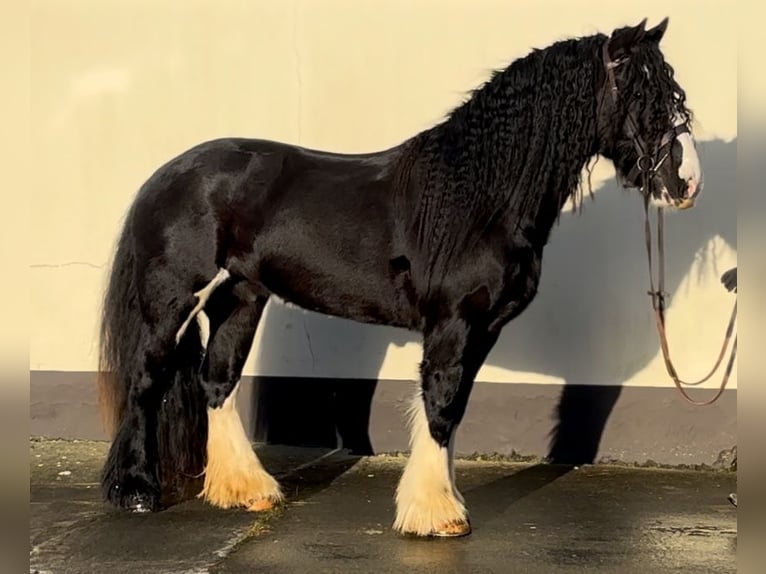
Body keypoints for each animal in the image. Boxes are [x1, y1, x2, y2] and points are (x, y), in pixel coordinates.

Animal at [99, 19, 704, 540]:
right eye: (647, 95)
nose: (688, 182)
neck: (477, 199)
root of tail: (167, 174)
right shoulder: (453, 322)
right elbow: (439, 403)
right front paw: (436, 515)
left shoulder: (484, 328)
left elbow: (455, 409)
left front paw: (442, 503)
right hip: (172, 300)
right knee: (147, 379)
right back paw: (137, 492)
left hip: (239, 298)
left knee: (216, 381)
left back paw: (247, 490)